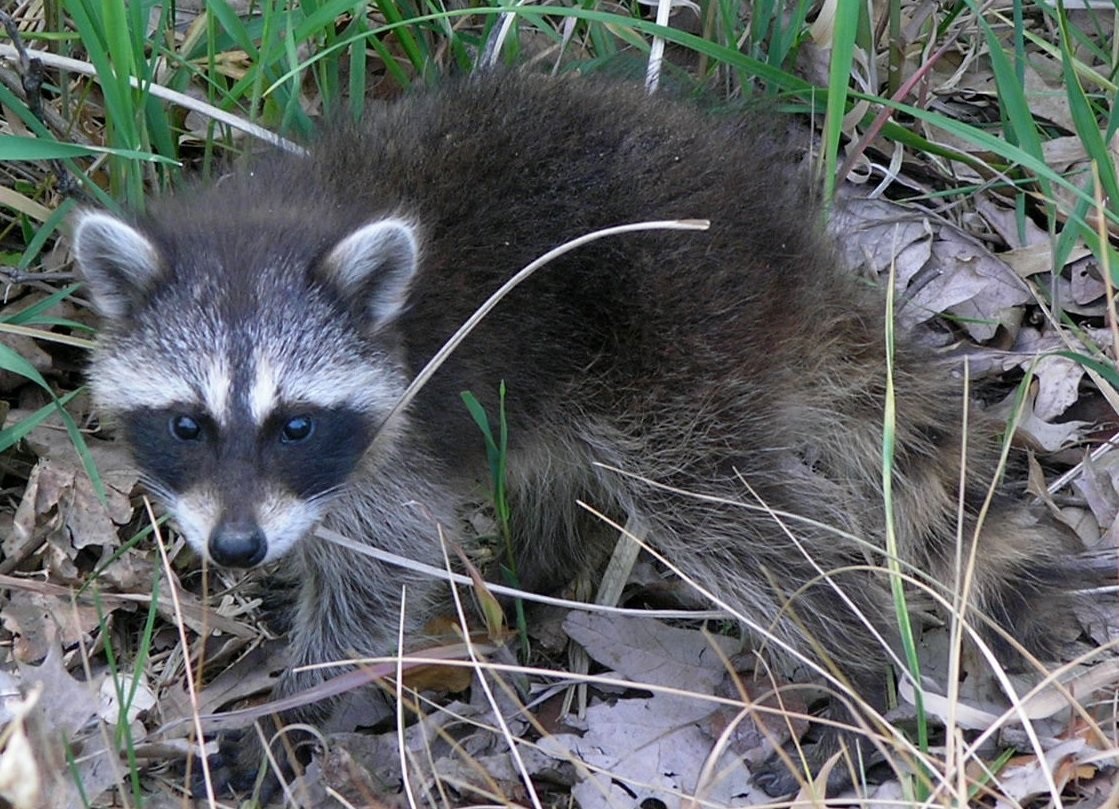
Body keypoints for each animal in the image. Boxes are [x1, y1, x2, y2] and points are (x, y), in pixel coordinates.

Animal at [67, 71, 1083, 796]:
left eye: (297, 424)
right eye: (187, 423)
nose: (237, 550)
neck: (269, 230)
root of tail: (786, 252)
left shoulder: (393, 443)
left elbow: (379, 577)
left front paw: (294, 706)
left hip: (680, 345)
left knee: (734, 521)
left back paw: (854, 662)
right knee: (567, 469)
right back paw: (538, 578)